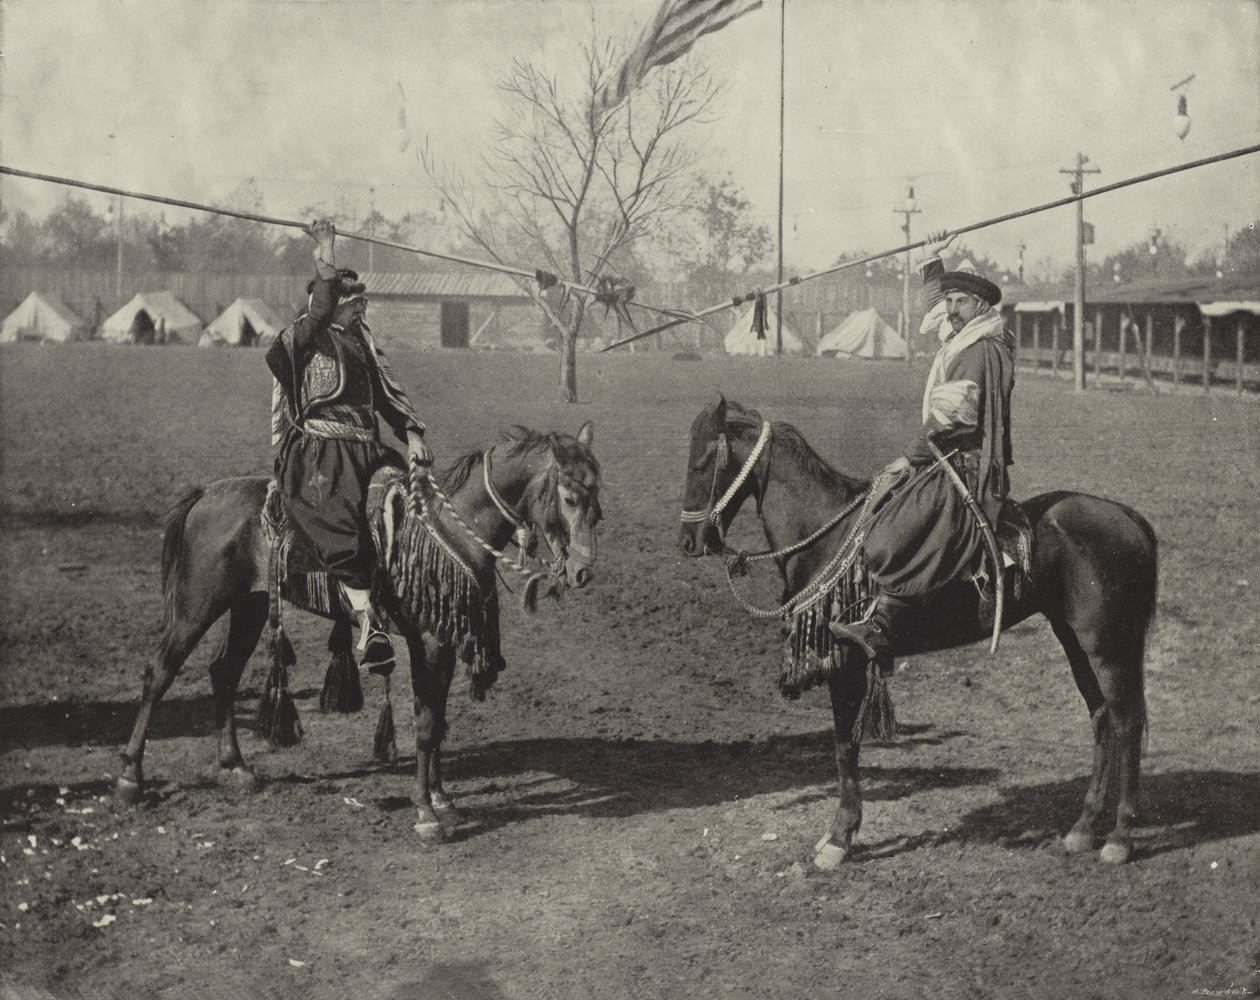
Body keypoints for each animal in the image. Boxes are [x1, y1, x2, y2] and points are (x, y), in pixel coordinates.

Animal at [117, 418, 599, 836]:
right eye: (570, 498)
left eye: (597, 502)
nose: (582, 573)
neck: (448, 530)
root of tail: (205, 493)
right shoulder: (426, 643)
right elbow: (426, 723)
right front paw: (426, 813)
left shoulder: (442, 642)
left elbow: (438, 718)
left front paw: (443, 799)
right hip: (196, 606)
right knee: (159, 671)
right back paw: (130, 779)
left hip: (249, 606)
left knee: (224, 672)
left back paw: (235, 767)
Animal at [685, 397, 1154, 866]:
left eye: (703, 462)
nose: (689, 540)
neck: (824, 532)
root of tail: (1127, 516)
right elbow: (844, 744)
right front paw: (839, 834)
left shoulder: (845, 660)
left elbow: (844, 744)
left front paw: (839, 839)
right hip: (1075, 641)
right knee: (1102, 718)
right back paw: (1083, 828)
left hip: (1107, 647)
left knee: (1126, 723)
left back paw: (1119, 838)